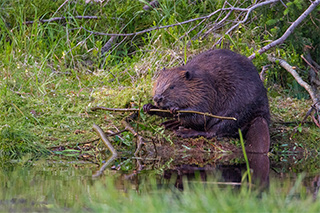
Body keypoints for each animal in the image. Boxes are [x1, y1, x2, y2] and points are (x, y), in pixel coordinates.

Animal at [144, 49, 272, 154]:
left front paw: (176, 109)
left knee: (213, 131)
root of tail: (261, 116)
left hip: (234, 112)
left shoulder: (206, 91)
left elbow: (202, 113)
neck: (198, 80)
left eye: (172, 87)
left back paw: (184, 131)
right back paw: (171, 124)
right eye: (158, 83)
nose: (157, 98)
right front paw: (148, 107)